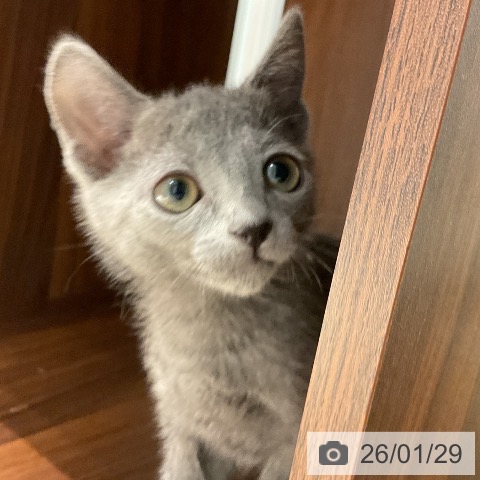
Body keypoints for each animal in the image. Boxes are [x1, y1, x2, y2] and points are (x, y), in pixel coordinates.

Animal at [43, 8, 337, 480]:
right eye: (177, 191)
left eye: (282, 171)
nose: (254, 228)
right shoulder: (180, 423)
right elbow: (180, 466)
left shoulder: (293, 436)